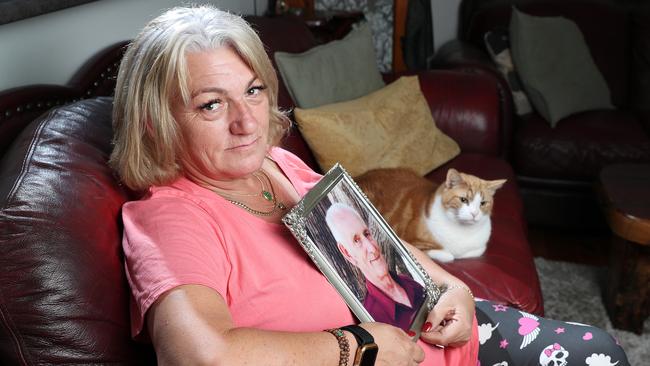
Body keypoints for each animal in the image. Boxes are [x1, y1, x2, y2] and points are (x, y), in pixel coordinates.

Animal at [354, 167, 506, 262]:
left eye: (483, 203)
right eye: (463, 200)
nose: (474, 214)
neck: (462, 232)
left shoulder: (479, 248)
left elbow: (473, 252)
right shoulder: (415, 243)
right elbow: (449, 255)